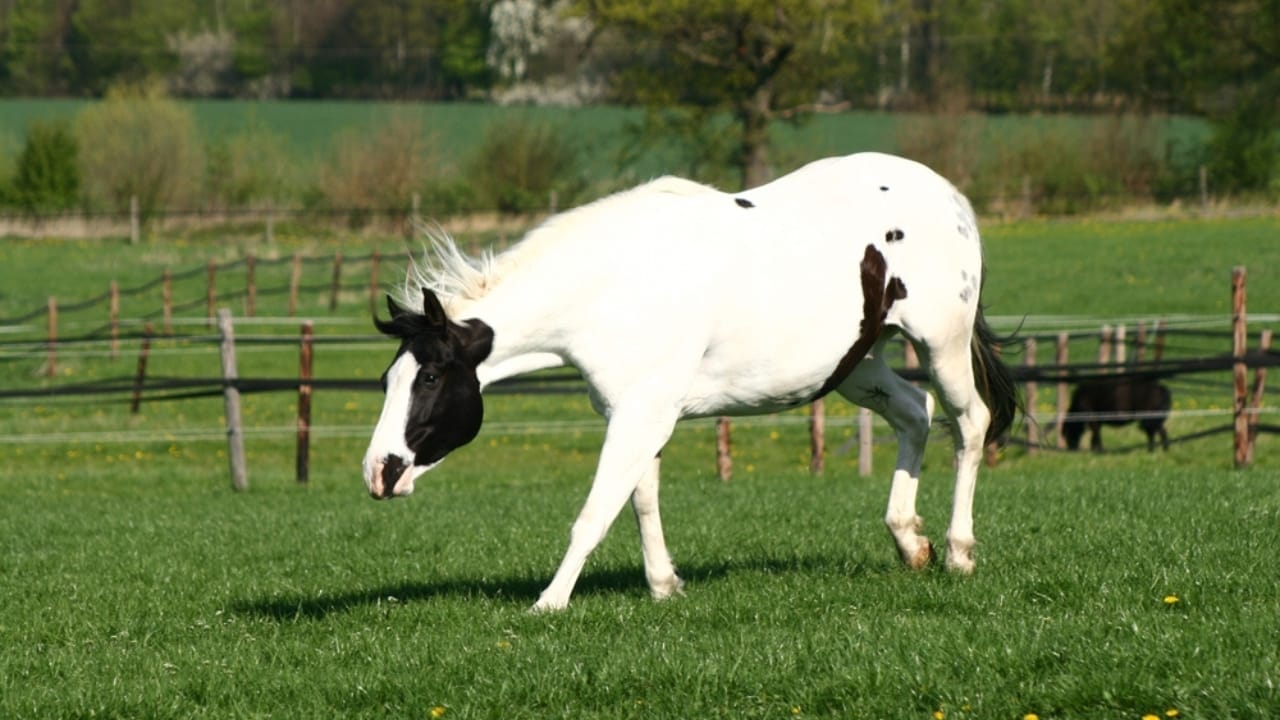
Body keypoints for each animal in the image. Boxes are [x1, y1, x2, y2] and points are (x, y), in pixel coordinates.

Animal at [362, 152, 1021, 612]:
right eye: (390, 378)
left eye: (431, 376)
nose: (378, 473)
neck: (611, 283)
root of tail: (949, 195)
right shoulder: (635, 412)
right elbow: (641, 501)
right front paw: (663, 586)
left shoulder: (640, 417)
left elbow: (596, 512)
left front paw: (549, 603)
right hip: (856, 367)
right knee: (915, 411)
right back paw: (909, 542)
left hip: (941, 345)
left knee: (970, 424)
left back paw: (958, 552)